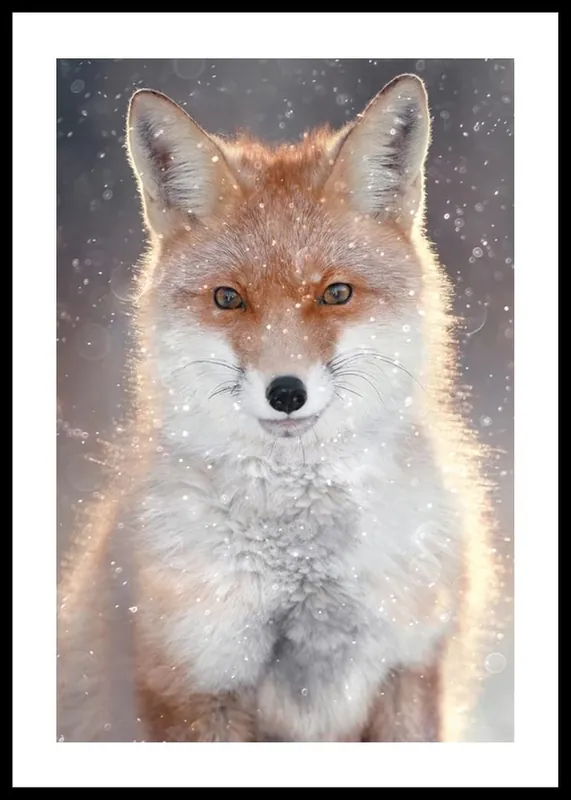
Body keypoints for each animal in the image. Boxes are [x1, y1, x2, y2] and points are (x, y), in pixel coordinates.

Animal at [57, 73, 497, 743]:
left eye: (336, 293)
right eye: (228, 298)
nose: (286, 392)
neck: (302, 566)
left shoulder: (411, 668)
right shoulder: (195, 680)